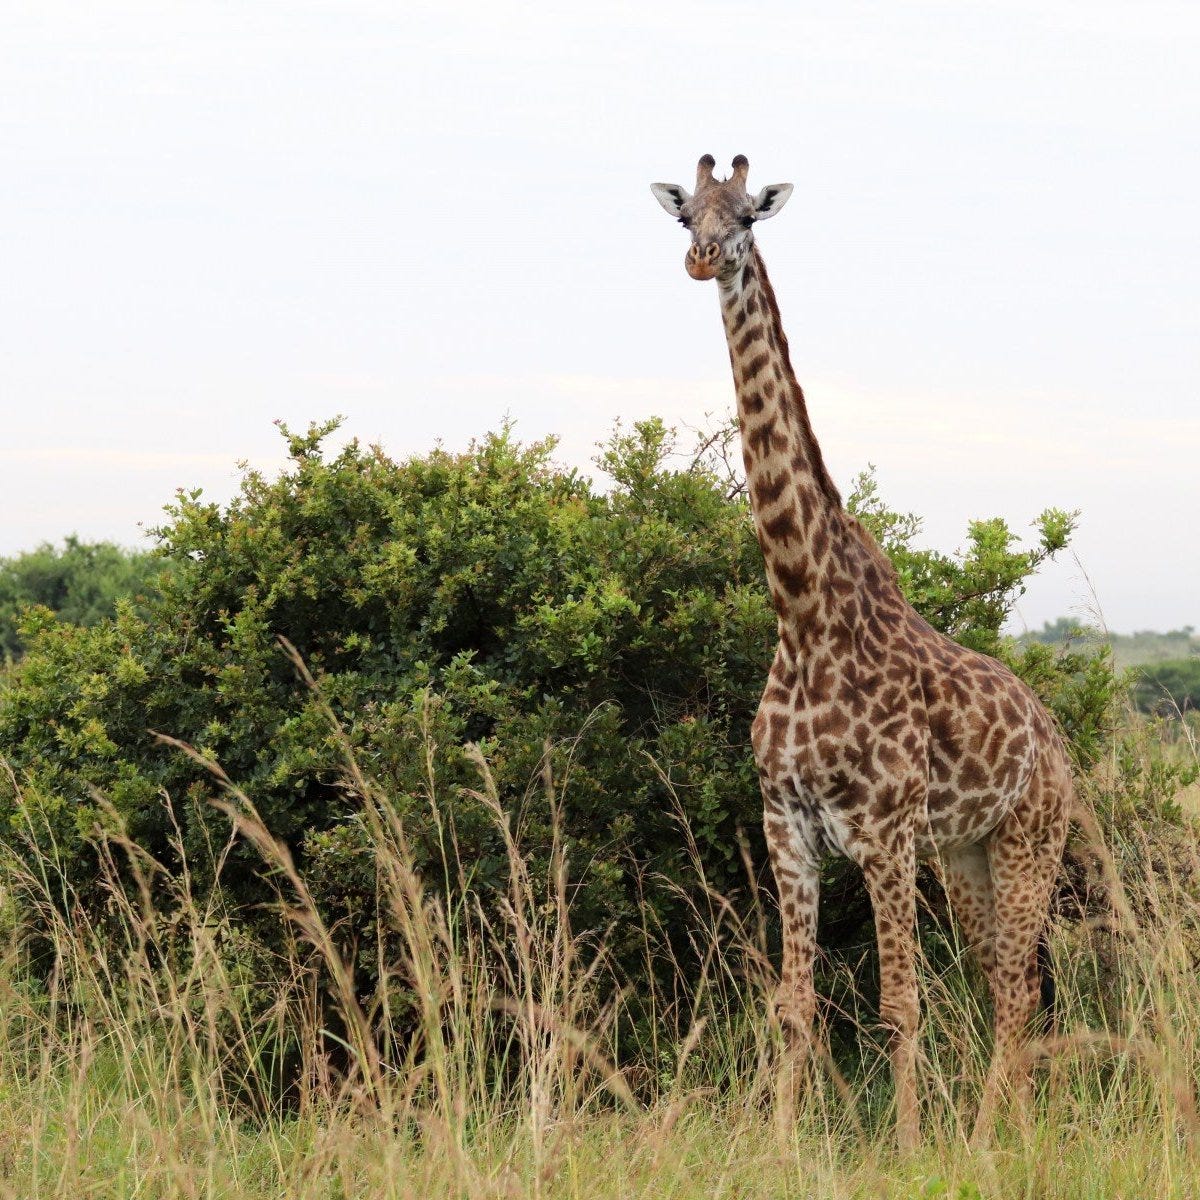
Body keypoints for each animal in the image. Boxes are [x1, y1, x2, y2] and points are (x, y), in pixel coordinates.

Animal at [650, 154, 1073, 1149]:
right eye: (685, 214)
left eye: (748, 217)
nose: (702, 258)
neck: (804, 614)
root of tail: (1059, 743)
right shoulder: (788, 827)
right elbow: (794, 1007)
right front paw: (778, 1145)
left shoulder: (884, 834)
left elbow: (899, 1005)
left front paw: (911, 1148)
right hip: (968, 857)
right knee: (1012, 987)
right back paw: (1006, 1127)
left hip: (1031, 842)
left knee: (1016, 992)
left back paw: (990, 1138)